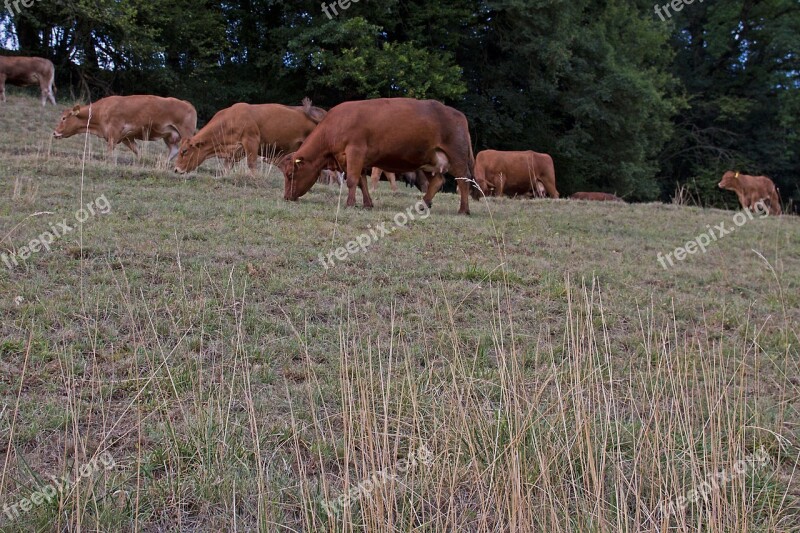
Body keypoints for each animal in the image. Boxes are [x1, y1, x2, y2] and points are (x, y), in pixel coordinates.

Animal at [53, 95, 197, 160]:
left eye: (64, 118)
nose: (55, 132)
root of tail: (187, 103)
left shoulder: (114, 133)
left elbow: (110, 151)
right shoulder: (126, 137)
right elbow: (137, 151)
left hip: (186, 132)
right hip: (169, 136)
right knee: (174, 150)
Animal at [174, 98, 324, 174]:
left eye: (184, 151)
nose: (176, 169)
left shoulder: (251, 141)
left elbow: (251, 164)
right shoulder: (235, 151)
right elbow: (227, 166)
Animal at [282, 97, 476, 214]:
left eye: (290, 174)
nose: (286, 197)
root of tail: (457, 113)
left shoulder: (355, 151)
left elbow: (352, 180)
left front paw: (349, 203)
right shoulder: (355, 159)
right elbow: (362, 182)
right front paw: (367, 204)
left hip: (457, 157)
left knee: (463, 181)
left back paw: (463, 210)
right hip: (429, 159)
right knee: (436, 181)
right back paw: (423, 203)